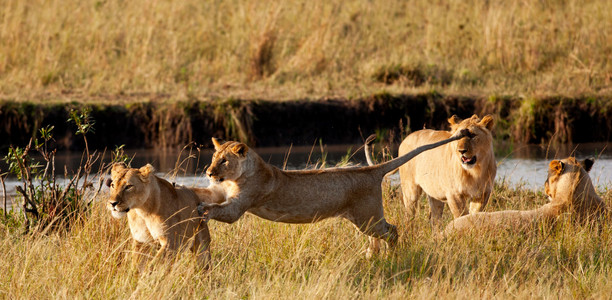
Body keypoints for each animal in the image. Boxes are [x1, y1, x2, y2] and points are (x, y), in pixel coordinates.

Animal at [196, 131, 468, 258]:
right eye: (213, 158)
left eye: (224, 161)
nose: (208, 172)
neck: (235, 177)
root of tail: (370, 170)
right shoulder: (217, 190)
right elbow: (203, 193)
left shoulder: (241, 203)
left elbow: (222, 210)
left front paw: (203, 210)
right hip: (365, 220)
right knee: (379, 235)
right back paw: (372, 256)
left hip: (368, 218)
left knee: (393, 230)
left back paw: (390, 254)